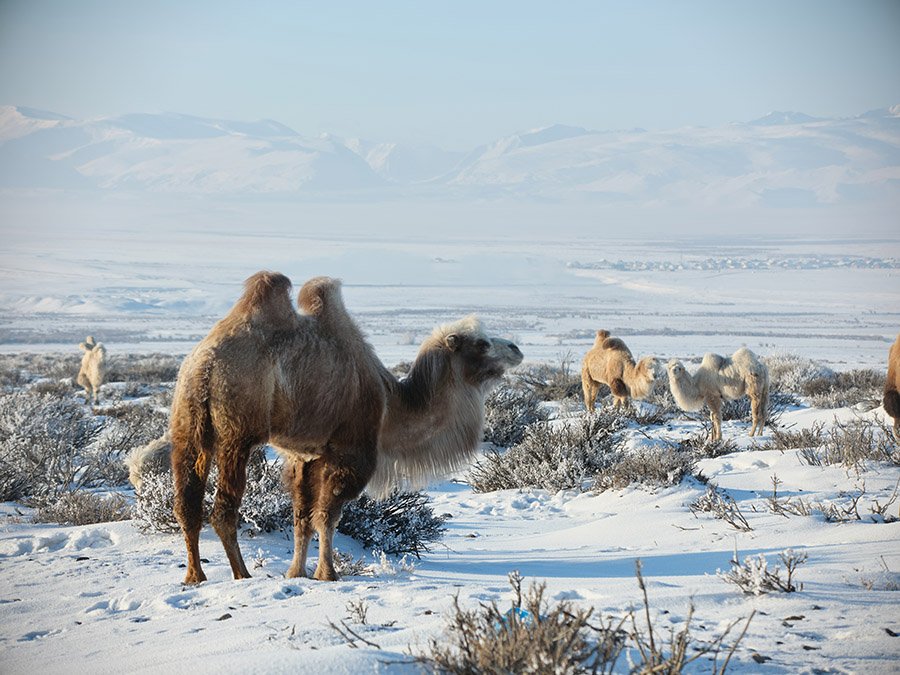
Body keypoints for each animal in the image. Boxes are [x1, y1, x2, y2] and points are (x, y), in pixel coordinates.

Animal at [170, 272, 524, 584]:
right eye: (481, 343)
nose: (516, 348)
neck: (389, 404)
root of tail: (204, 364)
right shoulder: (351, 452)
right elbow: (328, 516)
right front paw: (328, 574)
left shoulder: (304, 457)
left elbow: (302, 518)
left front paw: (295, 572)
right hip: (237, 432)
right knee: (223, 509)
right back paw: (241, 574)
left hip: (187, 424)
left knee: (186, 503)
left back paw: (194, 576)